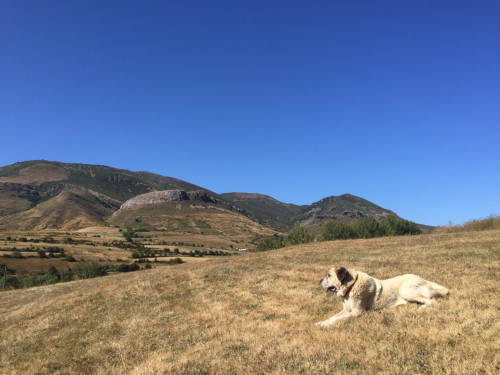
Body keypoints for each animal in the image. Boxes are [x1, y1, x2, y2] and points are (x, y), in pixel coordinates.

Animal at [316, 266, 450, 328]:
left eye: (328, 275)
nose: (319, 281)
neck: (351, 286)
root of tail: (423, 279)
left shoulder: (357, 312)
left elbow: (337, 319)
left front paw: (325, 325)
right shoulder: (346, 310)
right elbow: (333, 317)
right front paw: (321, 322)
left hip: (405, 291)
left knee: (432, 301)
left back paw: (421, 308)